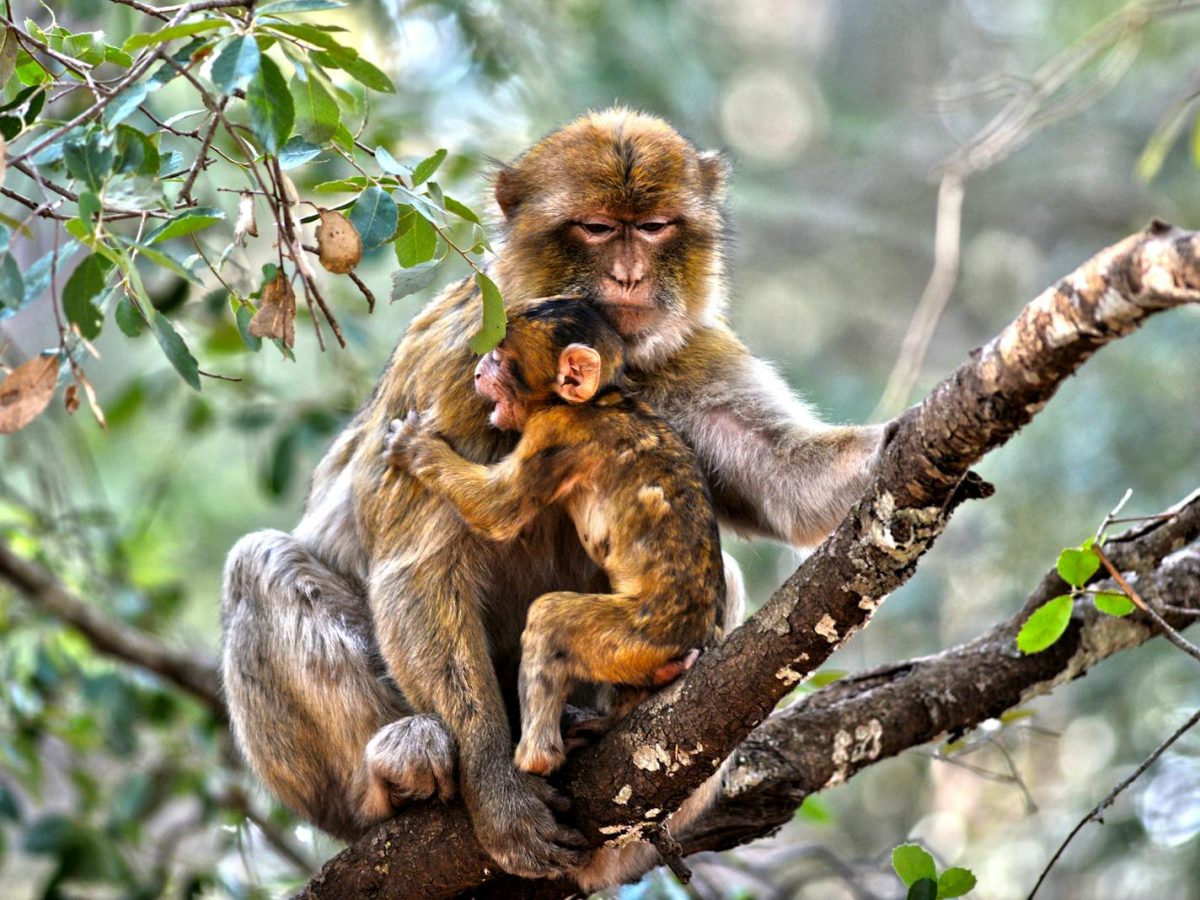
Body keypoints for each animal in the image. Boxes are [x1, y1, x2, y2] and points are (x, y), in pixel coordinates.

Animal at [382, 299, 726, 778]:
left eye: (500, 357)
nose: (478, 372)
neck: (599, 399)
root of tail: (702, 633)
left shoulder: (555, 431)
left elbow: (499, 510)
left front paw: (416, 448)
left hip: (645, 635)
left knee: (550, 619)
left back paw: (536, 758)